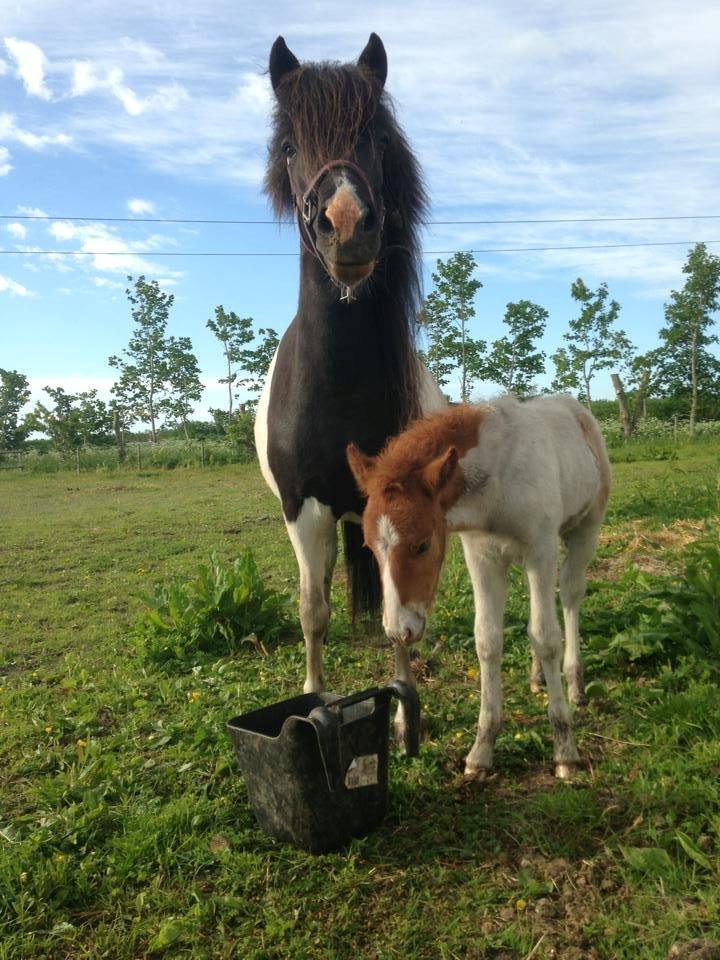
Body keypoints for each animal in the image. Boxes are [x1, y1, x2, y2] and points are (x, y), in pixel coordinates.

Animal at [253, 33, 444, 716]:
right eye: (289, 147)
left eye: (379, 141)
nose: (345, 224)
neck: (335, 389)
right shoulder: (303, 508)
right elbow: (314, 612)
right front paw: (312, 701)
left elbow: (395, 613)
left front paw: (403, 708)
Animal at [348, 398, 608, 780]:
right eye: (368, 546)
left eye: (423, 544)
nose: (400, 630)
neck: (495, 485)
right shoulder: (482, 555)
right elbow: (487, 640)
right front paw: (481, 751)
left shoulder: (540, 550)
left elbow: (546, 638)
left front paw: (565, 750)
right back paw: (537, 678)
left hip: (584, 530)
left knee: (571, 594)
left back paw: (575, 683)